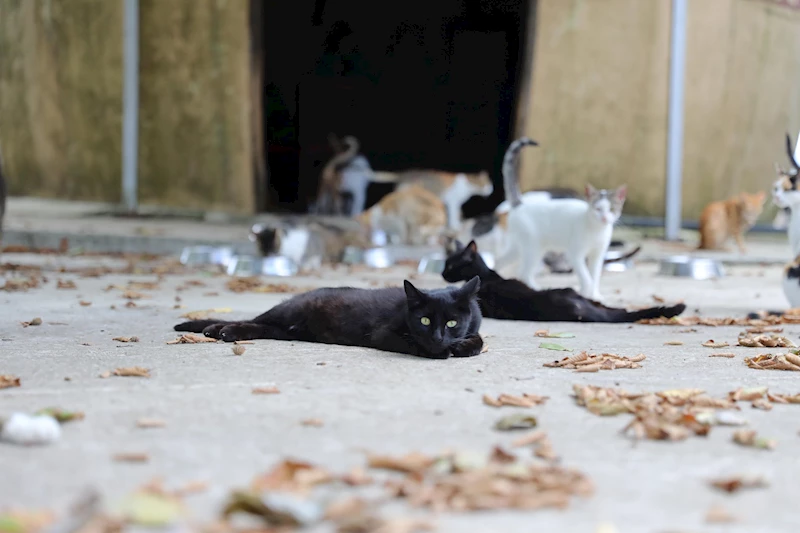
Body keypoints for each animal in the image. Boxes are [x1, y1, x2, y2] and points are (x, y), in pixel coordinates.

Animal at [173, 276, 482, 360]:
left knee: (260, 325)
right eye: (425, 321)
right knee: (258, 319)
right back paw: (217, 329)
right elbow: (414, 343)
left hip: (285, 329)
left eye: (452, 322)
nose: (438, 338)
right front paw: (440, 352)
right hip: (289, 311)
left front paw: (462, 346)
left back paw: (223, 331)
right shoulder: (384, 334)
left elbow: (478, 339)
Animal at [496, 136, 628, 300]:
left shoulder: (597, 255)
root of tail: (521, 204)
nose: (604, 218)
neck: (596, 230)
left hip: (520, 247)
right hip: (533, 248)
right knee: (523, 272)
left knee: (500, 261)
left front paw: (595, 295)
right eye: (597, 209)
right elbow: (586, 277)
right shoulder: (575, 255)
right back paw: (535, 289)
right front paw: (585, 293)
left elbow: (595, 276)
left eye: (611, 209)